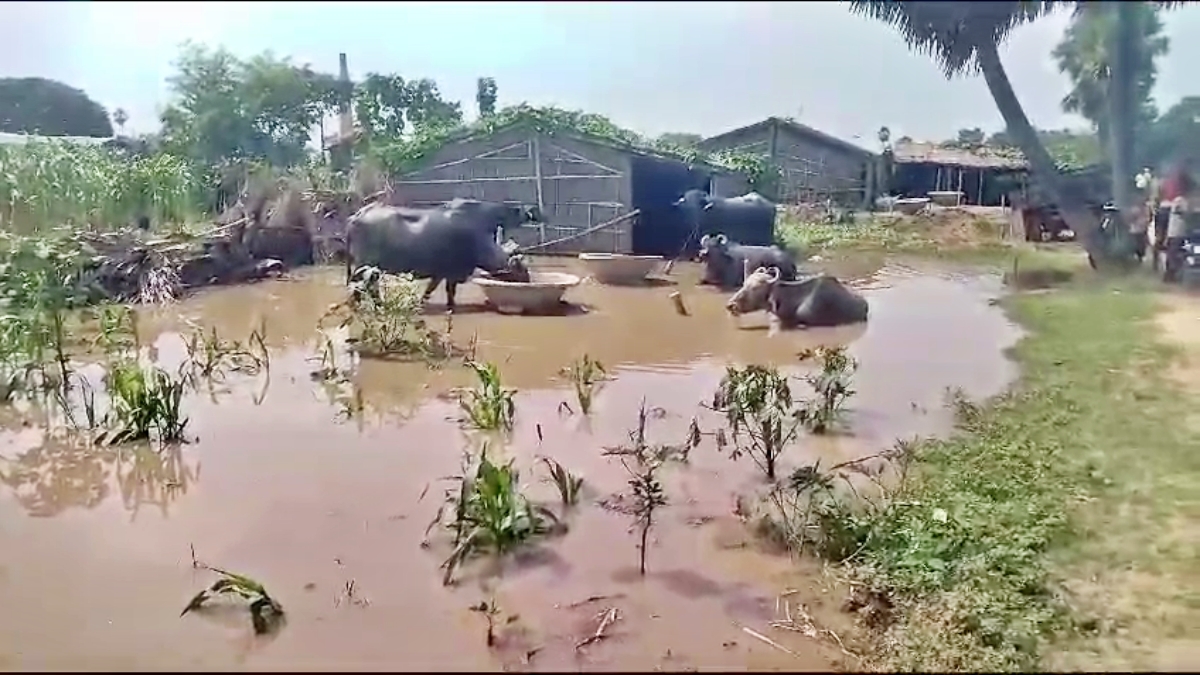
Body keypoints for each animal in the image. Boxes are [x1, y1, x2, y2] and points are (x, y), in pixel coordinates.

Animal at [345, 198, 537, 312]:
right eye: (521, 268)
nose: (528, 281)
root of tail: (358, 215)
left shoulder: (439, 273)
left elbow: (430, 291)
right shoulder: (450, 272)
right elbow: (449, 291)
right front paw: (450, 306)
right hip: (367, 266)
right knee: (365, 286)